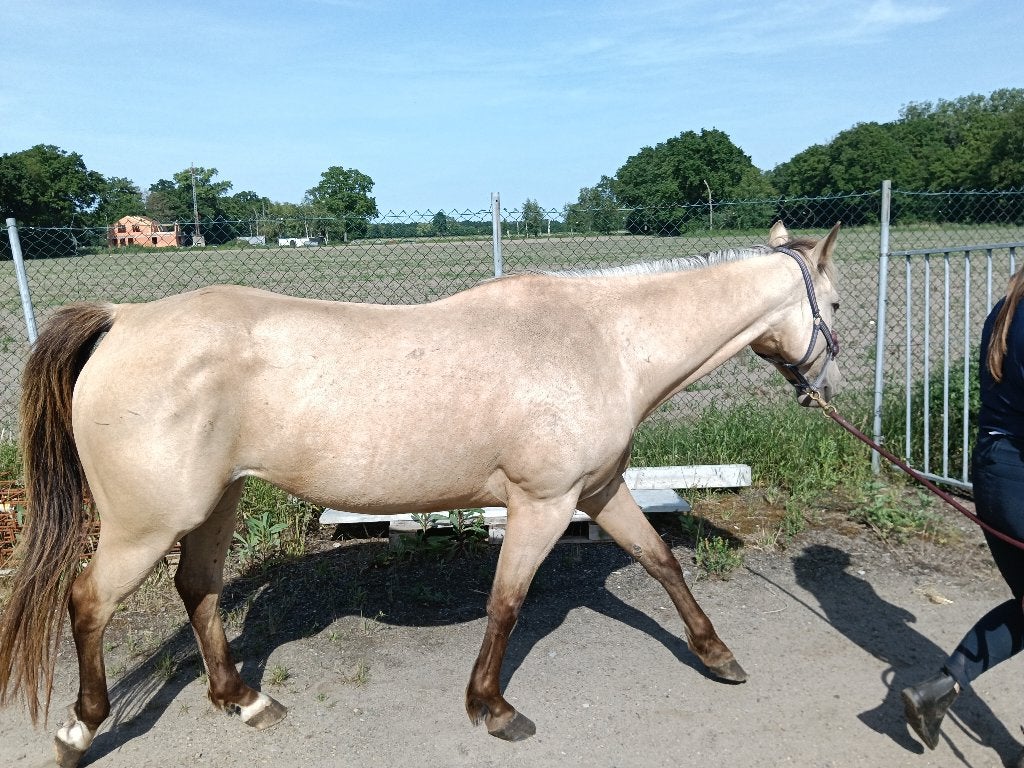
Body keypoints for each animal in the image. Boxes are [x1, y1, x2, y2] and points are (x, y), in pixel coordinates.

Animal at [0, 220, 840, 767]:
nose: (825, 389)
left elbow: (662, 561)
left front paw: (718, 656)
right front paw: (493, 709)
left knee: (198, 589)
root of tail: (124, 320)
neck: (599, 341)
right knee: (87, 601)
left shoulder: (598, 491)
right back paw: (80, 731)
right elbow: (507, 602)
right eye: (834, 306)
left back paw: (244, 699)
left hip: (216, 505)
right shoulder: (543, 503)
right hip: (145, 523)